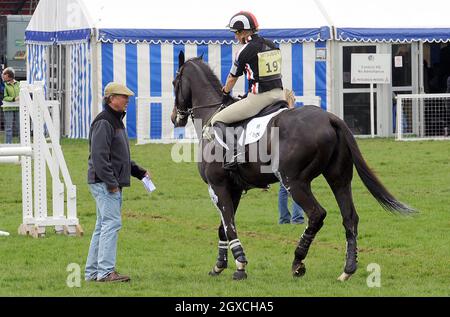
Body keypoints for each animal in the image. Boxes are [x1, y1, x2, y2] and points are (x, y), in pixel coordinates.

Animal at [171, 52, 414, 282]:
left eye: (175, 82)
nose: (175, 118)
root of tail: (329, 118)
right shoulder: (234, 189)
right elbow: (223, 227)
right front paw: (219, 266)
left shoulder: (217, 186)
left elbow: (229, 226)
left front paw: (240, 266)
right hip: (339, 179)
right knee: (350, 218)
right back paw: (347, 269)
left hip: (293, 182)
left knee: (317, 214)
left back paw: (298, 261)